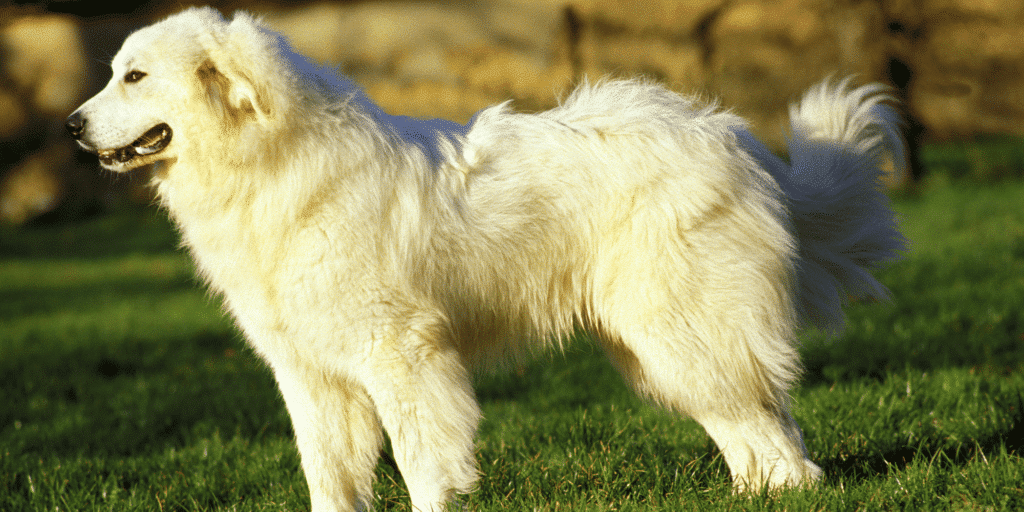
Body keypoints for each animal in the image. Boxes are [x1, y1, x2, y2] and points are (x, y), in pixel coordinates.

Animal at [68, 8, 905, 512]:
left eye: (133, 76)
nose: (72, 127)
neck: (267, 162)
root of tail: (732, 136)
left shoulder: (403, 356)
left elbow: (423, 463)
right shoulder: (311, 374)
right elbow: (329, 477)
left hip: (678, 333)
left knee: (770, 432)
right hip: (666, 346)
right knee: (760, 425)